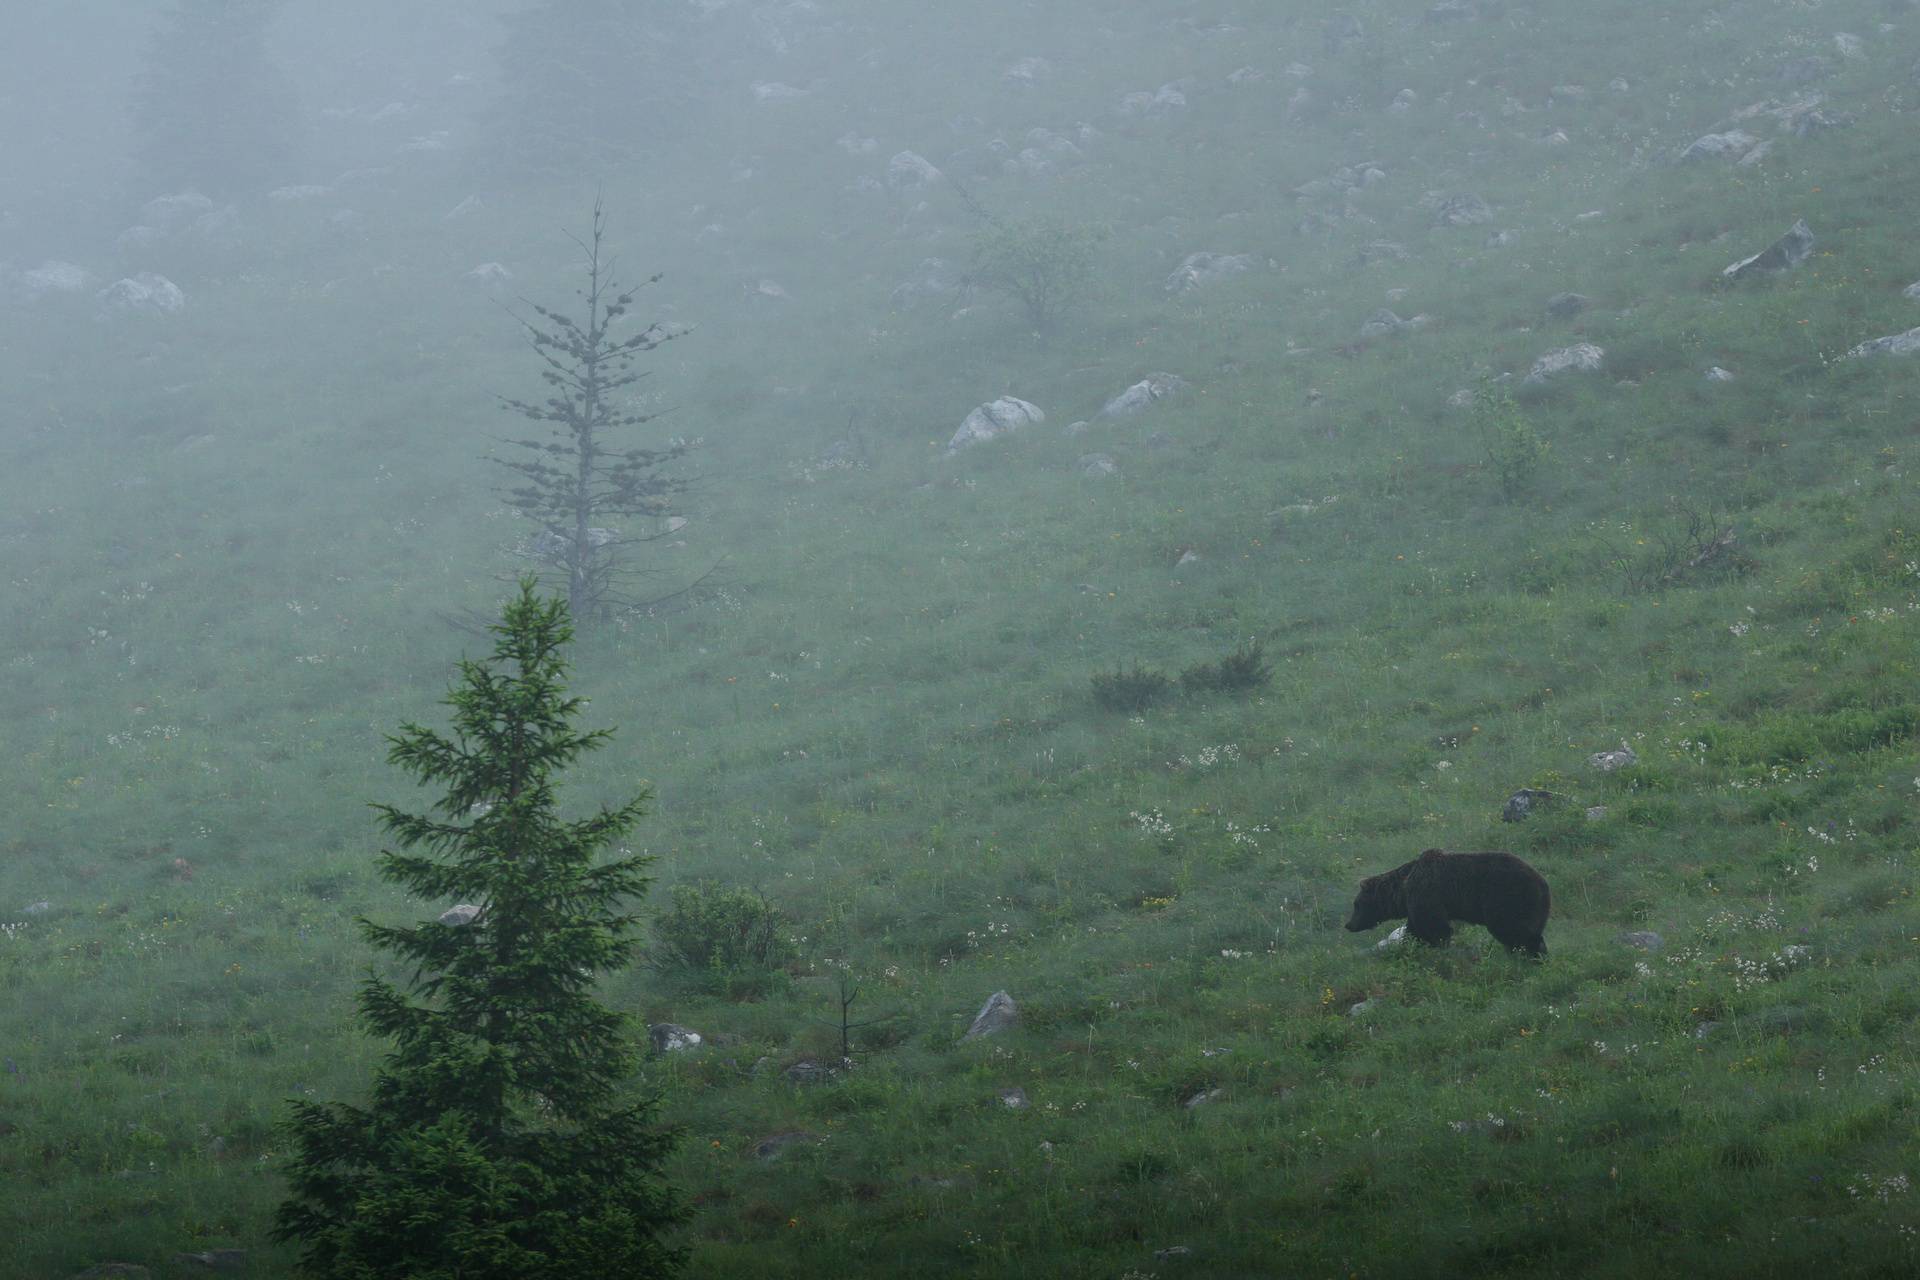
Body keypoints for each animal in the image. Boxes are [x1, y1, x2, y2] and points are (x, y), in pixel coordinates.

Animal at [1344, 844, 1551, 955]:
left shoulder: (1427, 894)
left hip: (1507, 896)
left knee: (1512, 929)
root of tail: (1543, 882)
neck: (1403, 889)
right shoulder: (1416, 903)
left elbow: (1434, 927)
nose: (1349, 925)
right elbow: (1415, 930)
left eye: (1356, 904)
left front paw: (1437, 947)